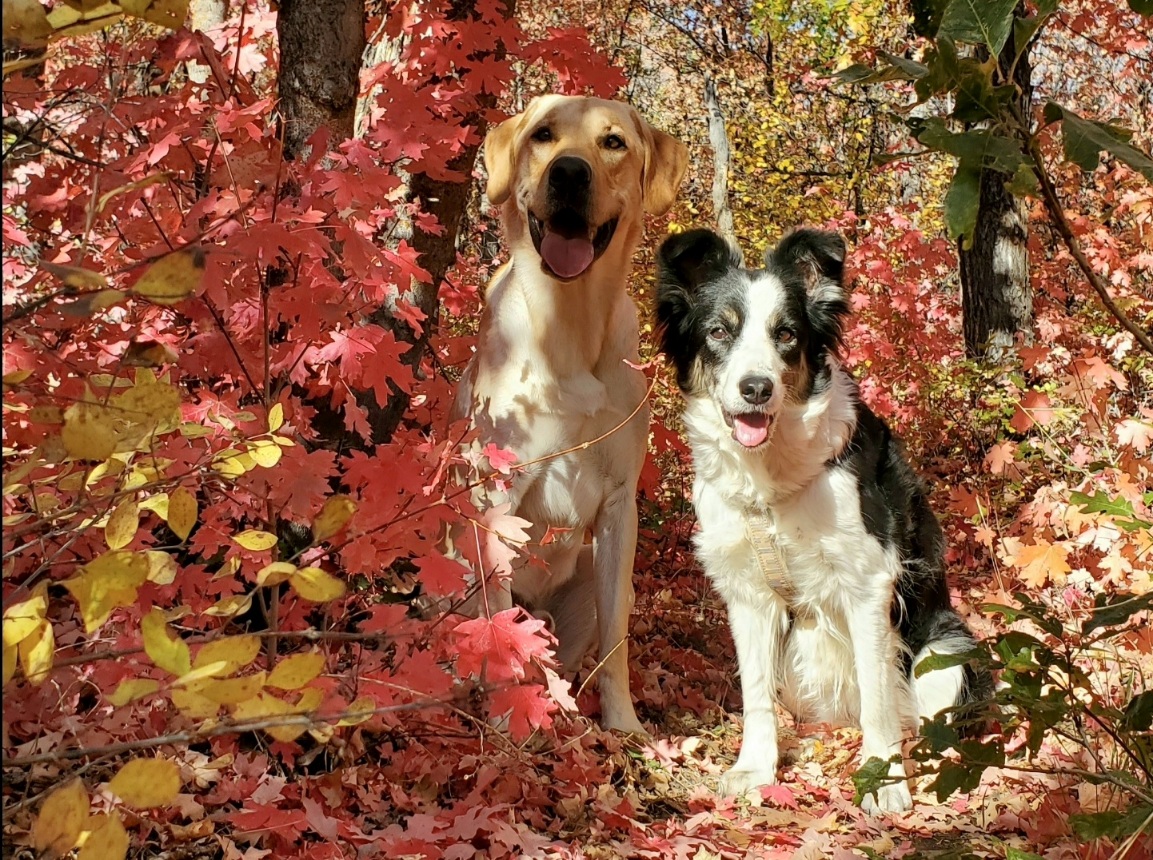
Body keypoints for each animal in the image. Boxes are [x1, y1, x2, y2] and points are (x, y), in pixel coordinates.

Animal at [449, 97, 682, 733]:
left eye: (613, 142)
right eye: (543, 135)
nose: (570, 174)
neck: (570, 322)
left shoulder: (621, 506)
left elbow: (618, 643)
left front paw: (624, 727)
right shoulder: (496, 494)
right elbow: (500, 631)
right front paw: (509, 723)